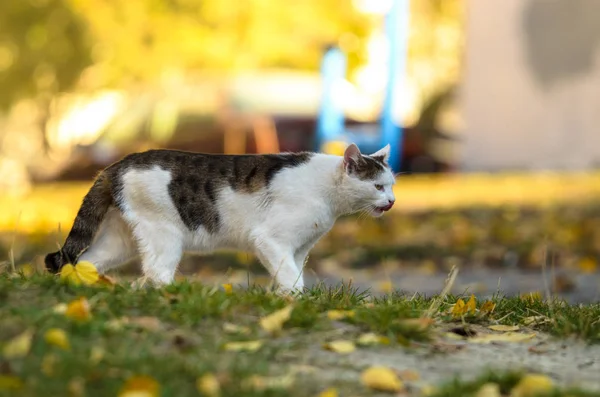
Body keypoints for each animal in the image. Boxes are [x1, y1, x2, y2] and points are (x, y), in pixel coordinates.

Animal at [44, 142, 396, 290]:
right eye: (378, 186)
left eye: (392, 185)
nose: (392, 201)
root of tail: (117, 164)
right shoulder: (270, 240)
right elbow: (291, 277)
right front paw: (296, 300)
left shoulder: (298, 249)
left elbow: (291, 273)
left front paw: (283, 301)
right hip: (164, 235)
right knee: (155, 274)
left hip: (121, 240)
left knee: (84, 262)